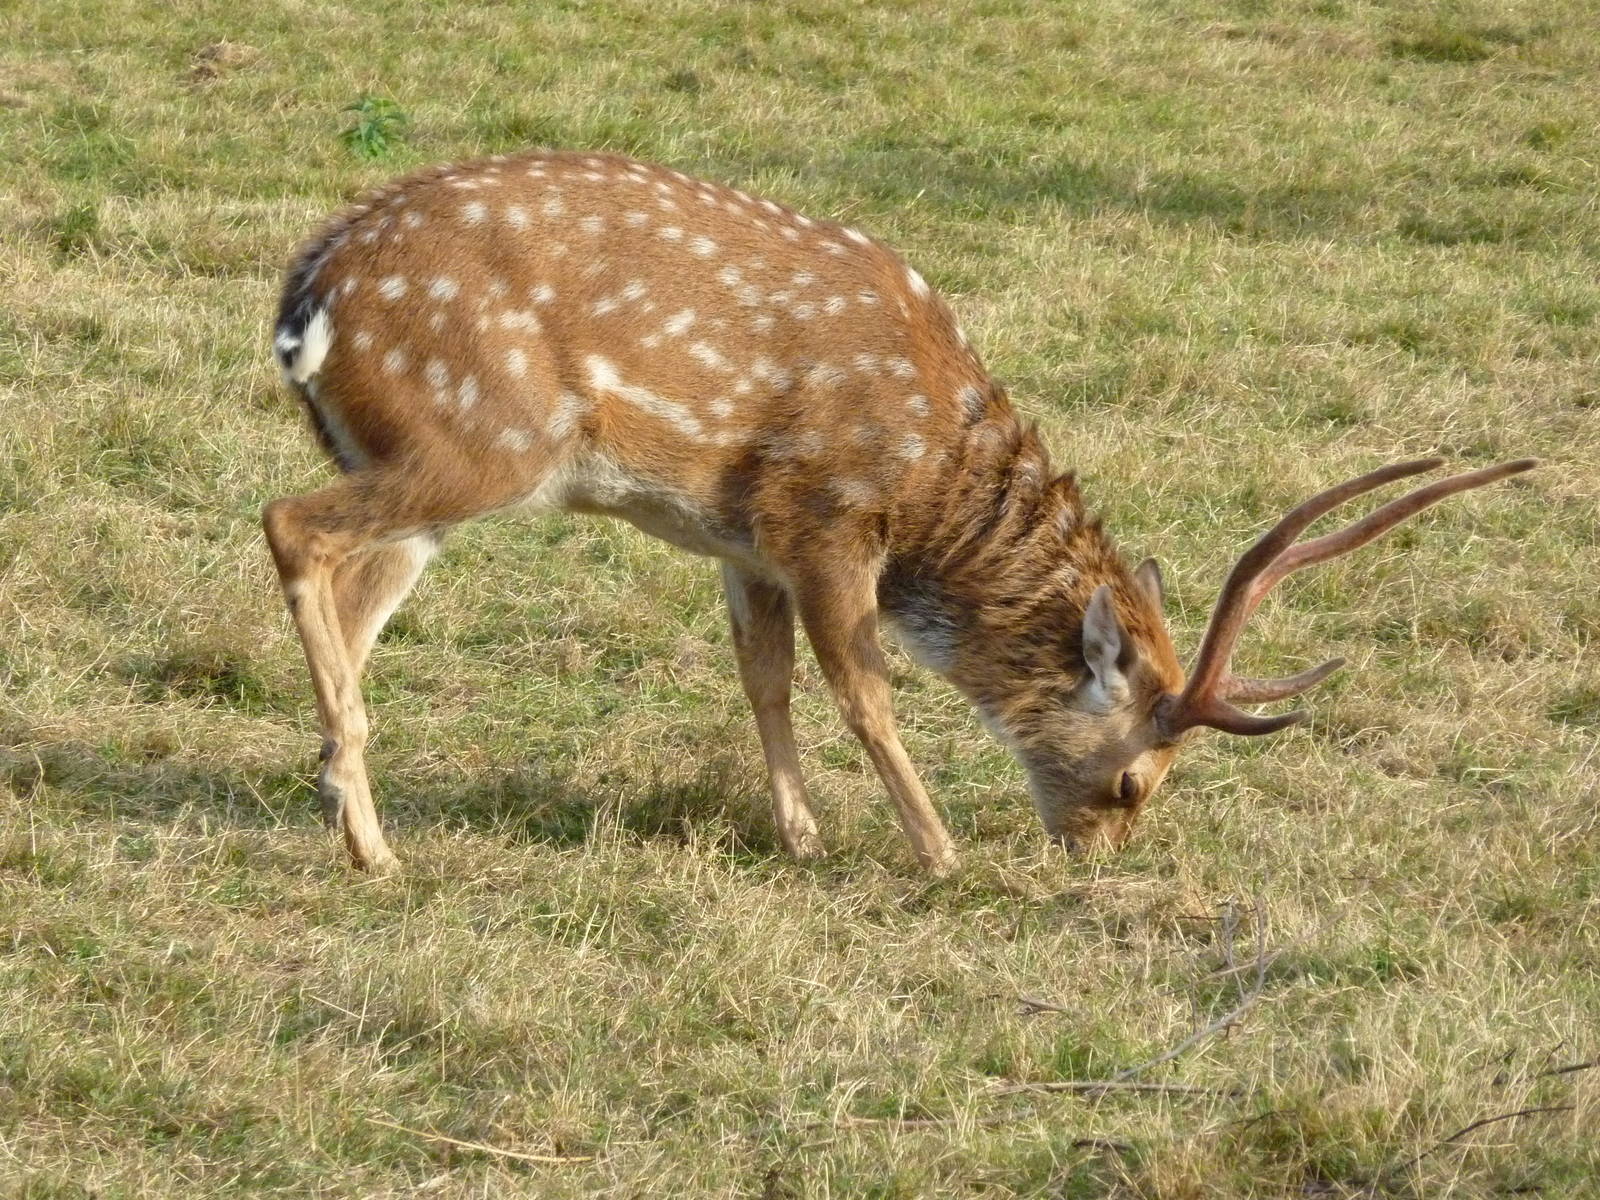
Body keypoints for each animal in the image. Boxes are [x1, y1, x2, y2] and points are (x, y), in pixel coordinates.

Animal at [265, 150, 1534, 875]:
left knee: (354, 594)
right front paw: (937, 849)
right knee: (289, 523)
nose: (1093, 852)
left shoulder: (744, 541)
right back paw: (370, 846)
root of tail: (303, 302)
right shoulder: (826, 517)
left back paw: (343, 802)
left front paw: (800, 834)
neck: (932, 488)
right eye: (1136, 780)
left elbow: (764, 679)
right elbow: (864, 690)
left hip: (423, 473)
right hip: (480, 441)